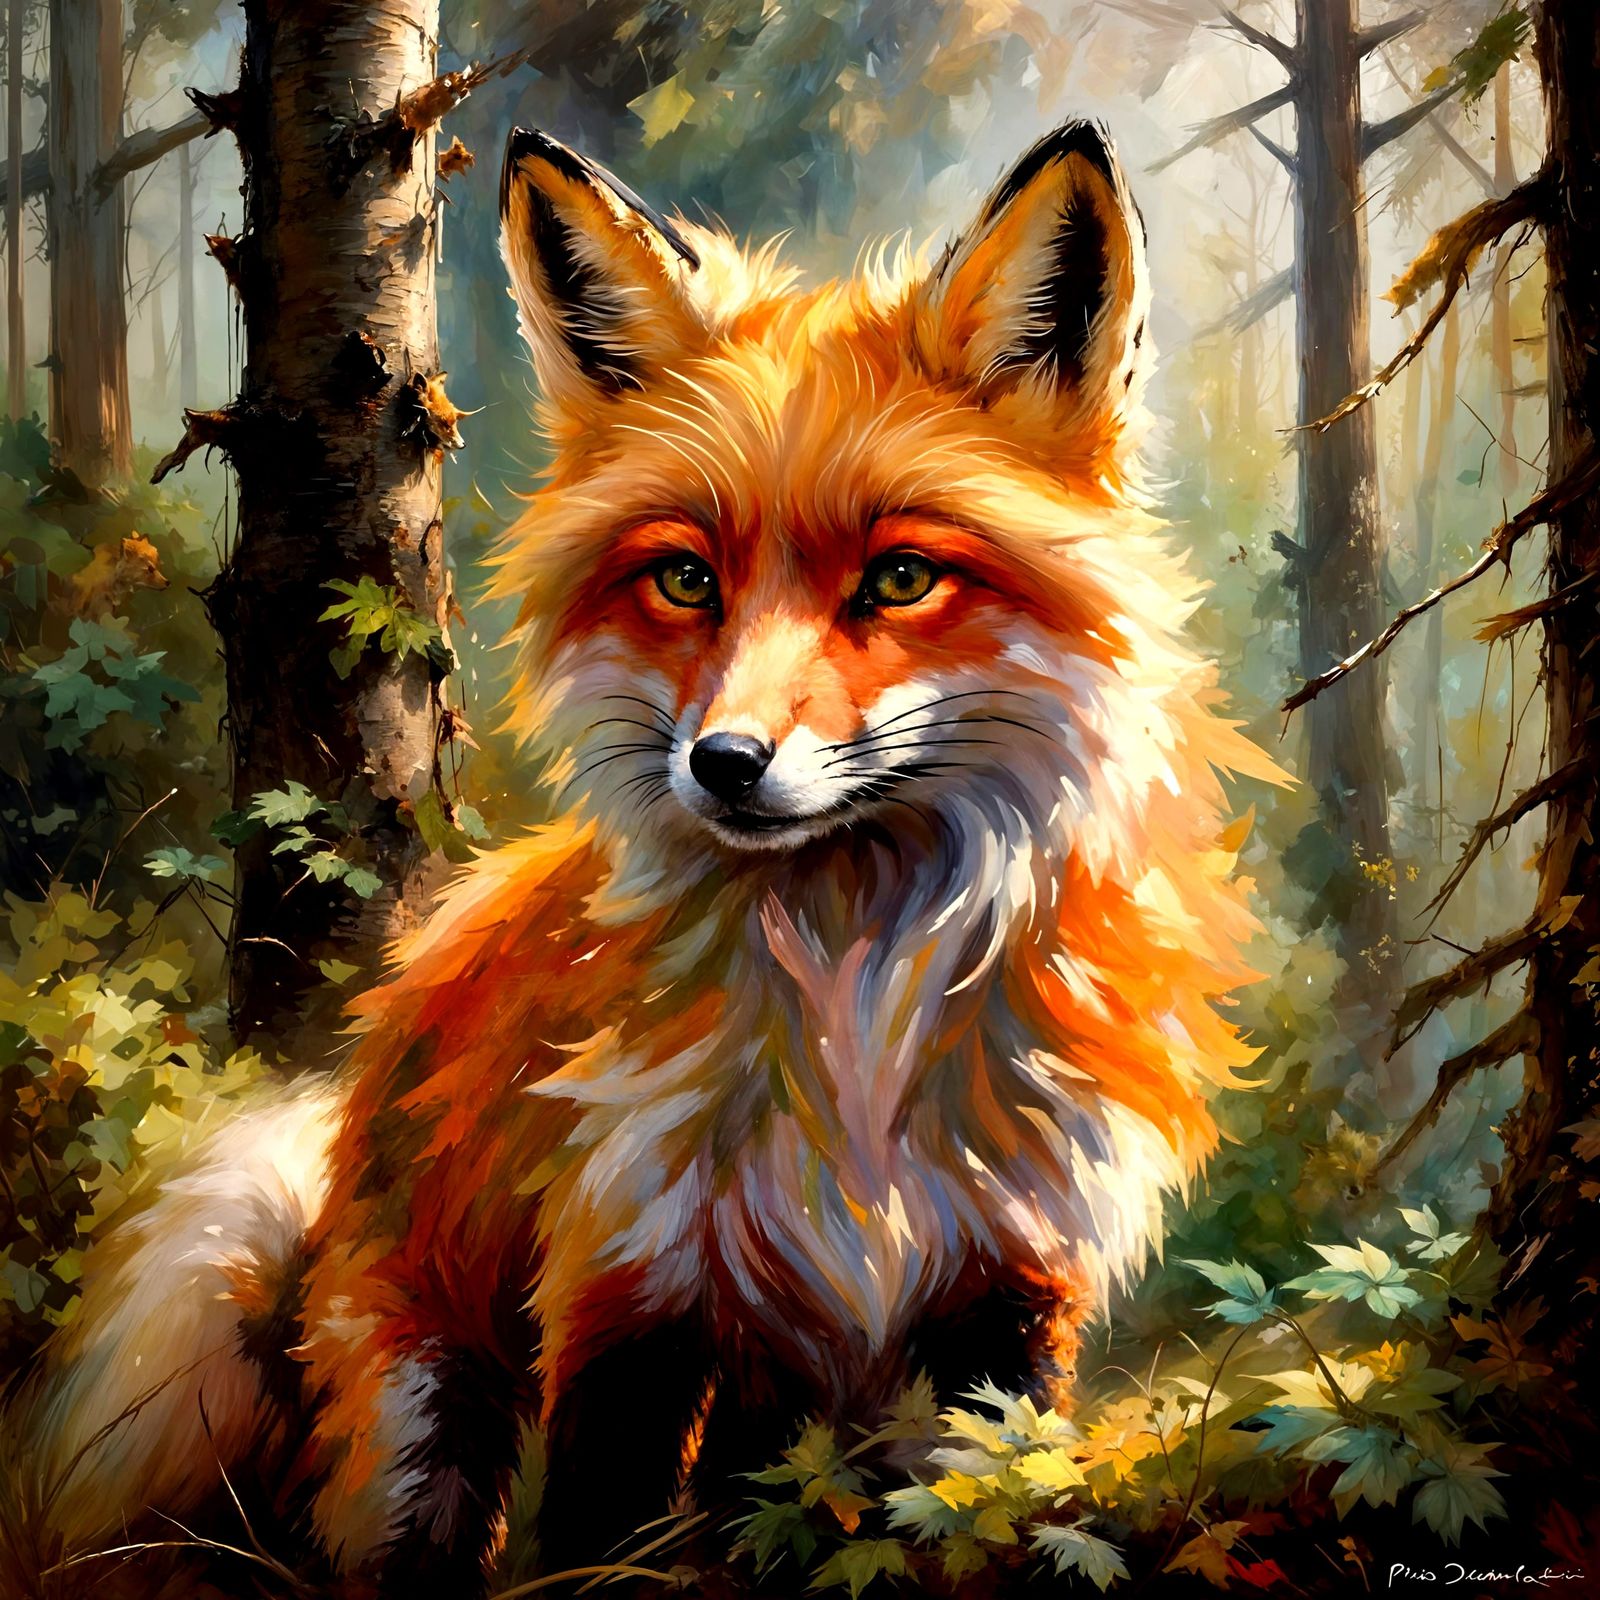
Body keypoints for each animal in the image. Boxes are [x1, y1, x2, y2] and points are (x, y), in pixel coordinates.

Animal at [12, 121, 1276, 1595]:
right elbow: (599, 1539)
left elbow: (978, 1505)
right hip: (426, 1423)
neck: (855, 1004)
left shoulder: (1005, 1291)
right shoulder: (632, 1284)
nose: (724, 763)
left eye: (901, 579)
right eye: (685, 580)